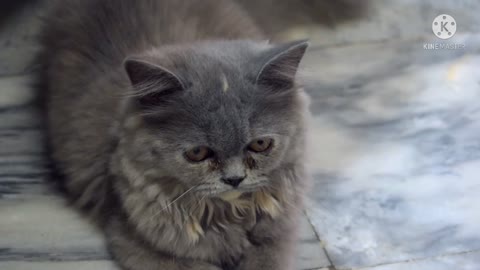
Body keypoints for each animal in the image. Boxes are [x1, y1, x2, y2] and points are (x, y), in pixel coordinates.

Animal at [40, 0, 312, 270]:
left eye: (260, 144)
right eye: (197, 153)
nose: (234, 179)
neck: (228, 212)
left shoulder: (278, 235)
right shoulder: (135, 242)